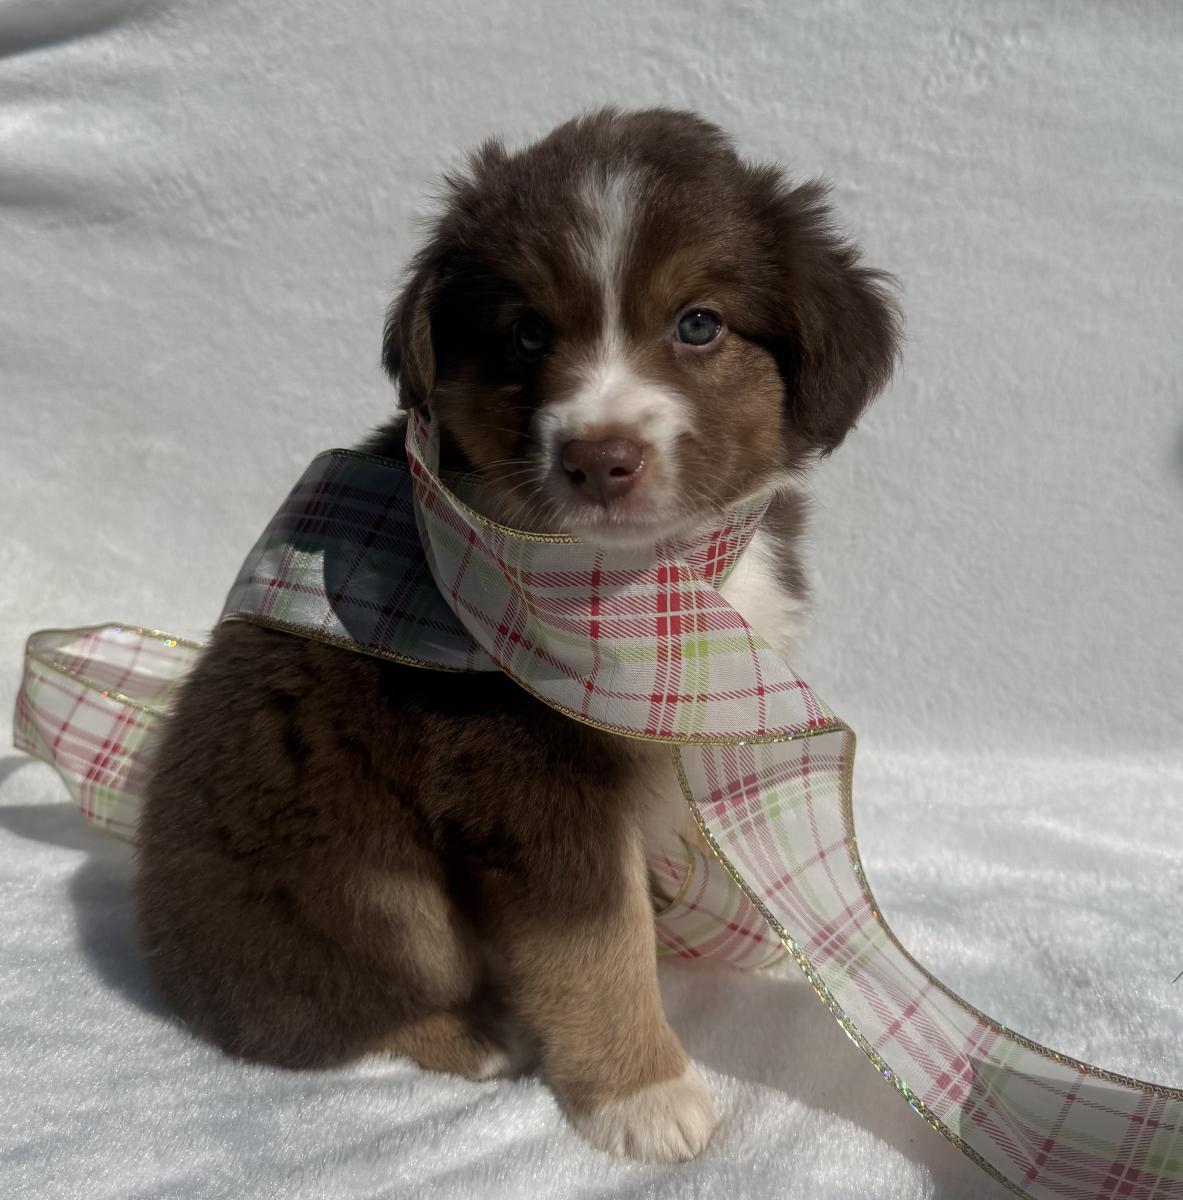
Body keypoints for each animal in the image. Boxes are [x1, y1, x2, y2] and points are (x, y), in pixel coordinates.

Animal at [135, 108, 899, 1162]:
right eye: (526, 333)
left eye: (698, 323)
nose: (598, 459)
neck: (647, 580)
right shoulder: (521, 778)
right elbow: (595, 943)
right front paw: (642, 1092)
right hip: (370, 884)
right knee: (310, 1012)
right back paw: (473, 1034)